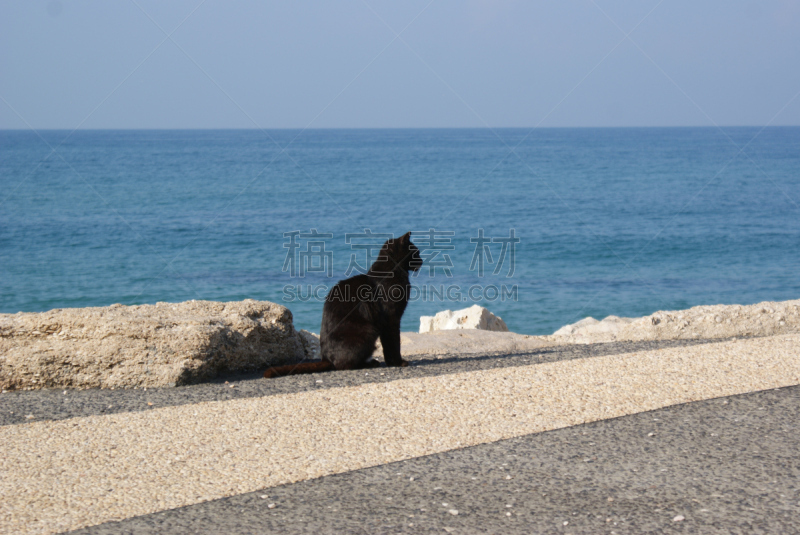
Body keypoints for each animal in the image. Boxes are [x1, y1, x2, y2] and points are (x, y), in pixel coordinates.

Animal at [264, 232, 424, 378]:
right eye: (416, 252)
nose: (422, 261)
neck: (392, 271)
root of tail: (326, 359)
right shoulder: (391, 319)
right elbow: (393, 343)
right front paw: (397, 363)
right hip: (368, 331)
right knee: (344, 365)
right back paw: (370, 363)